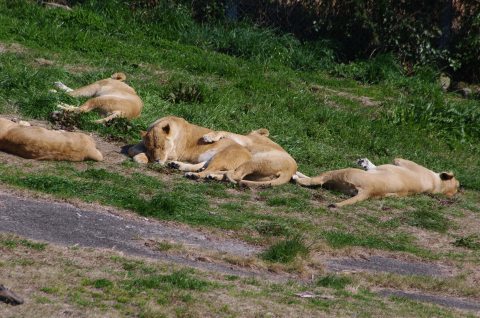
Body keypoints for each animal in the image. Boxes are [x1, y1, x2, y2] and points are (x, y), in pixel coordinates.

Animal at [129, 116, 298, 186]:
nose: (156, 161)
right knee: (210, 168)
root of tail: (291, 170)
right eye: (151, 148)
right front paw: (140, 156)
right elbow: (134, 148)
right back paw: (178, 166)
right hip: (215, 157)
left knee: (222, 172)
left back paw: (193, 174)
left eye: (163, 147)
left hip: (229, 157)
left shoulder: (174, 152)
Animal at [294, 158, 460, 207]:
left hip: (341, 172)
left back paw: (296, 177)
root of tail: (370, 190)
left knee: (315, 180)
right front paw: (365, 162)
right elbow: (373, 166)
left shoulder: (400, 160)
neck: (437, 184)